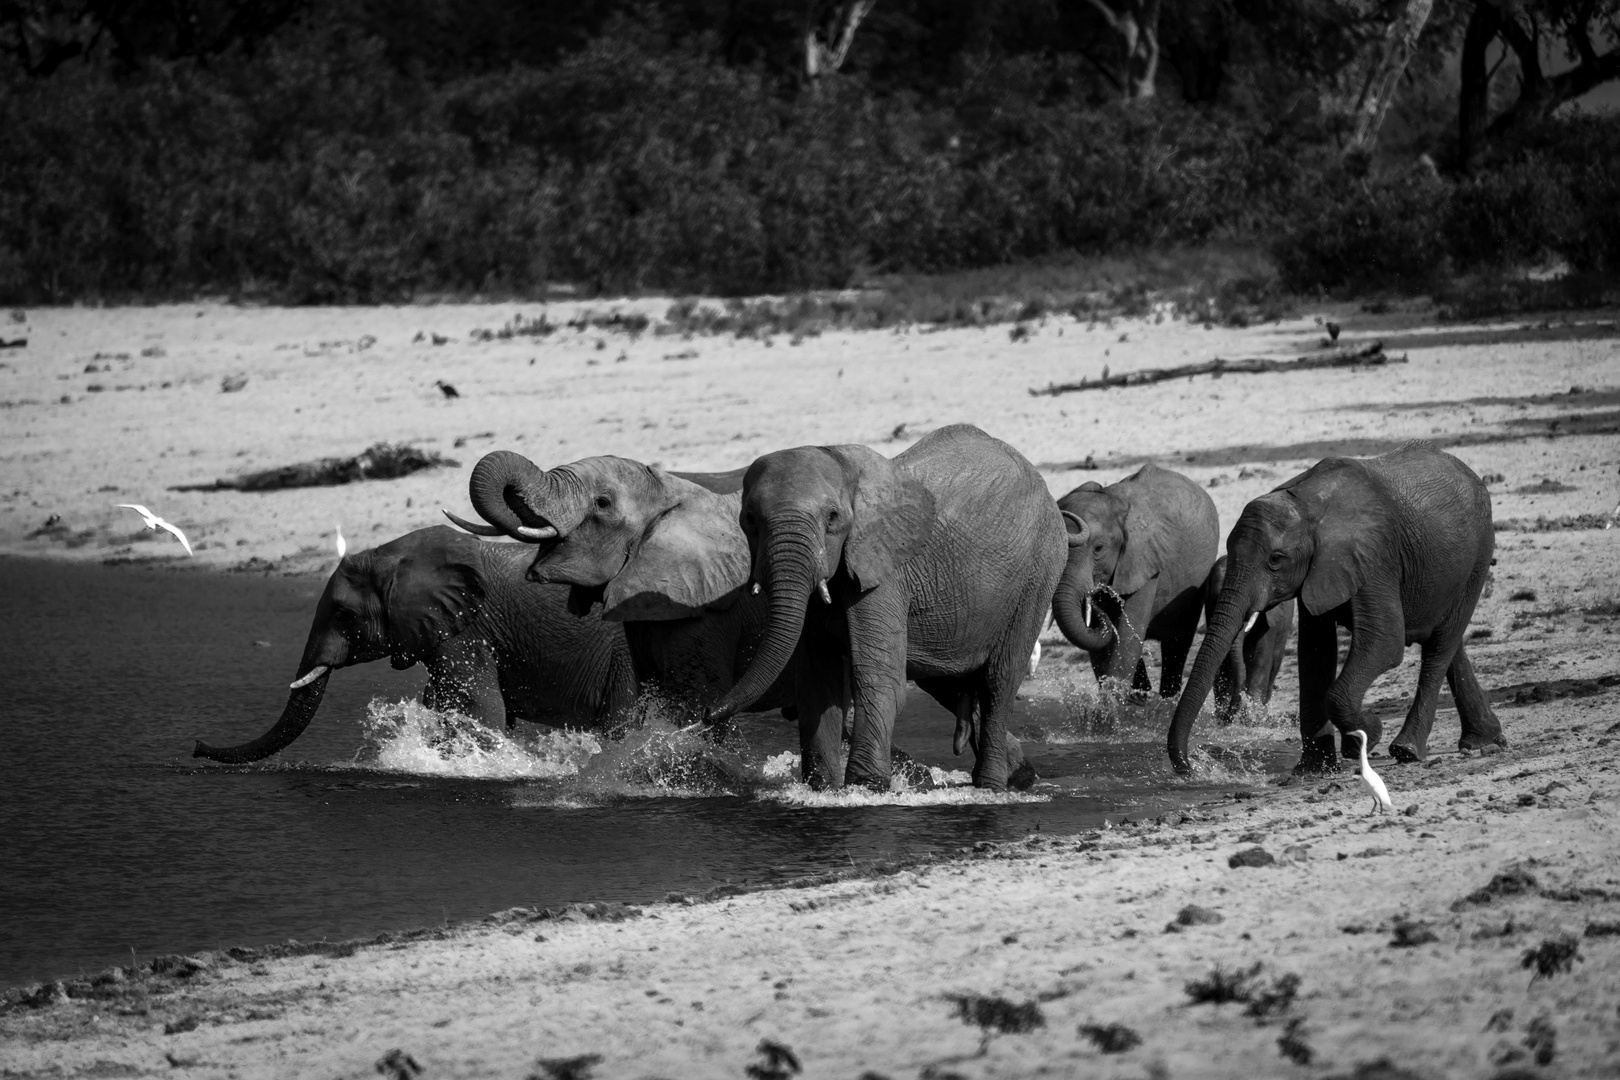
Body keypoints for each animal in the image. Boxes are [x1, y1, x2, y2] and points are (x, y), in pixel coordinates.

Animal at [192, 527, 635, 764]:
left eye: (343, 616)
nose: (195, 746)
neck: (391, 556)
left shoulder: (465, 630)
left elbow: (479, 708)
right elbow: (444, 702)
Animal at [699, 424, 1062, 793]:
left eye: (832, 518)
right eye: (749, 519)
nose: (706, 715)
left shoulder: (884, 574)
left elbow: (877, 679)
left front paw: (866, 787)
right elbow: (817, 682)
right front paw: (823, 788)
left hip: (1038, 572)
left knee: (997, 684)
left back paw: (991, 786)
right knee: (946, 680)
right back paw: (1018, 776)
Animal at [1049, 466, 1218, 702]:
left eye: (1099, 548)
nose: (1093, 601)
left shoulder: (1144, 560)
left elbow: (1128, 633)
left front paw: (1112, 703)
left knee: (1178, 640)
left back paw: (1166, 699)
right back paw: (1143, 694)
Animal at [1211, 553, 1296, 722]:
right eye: (1216, 600)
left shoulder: (1269, 617)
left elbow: (1260, 659)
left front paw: (1251, 718)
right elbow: (1222, 663)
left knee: (1274, 665)